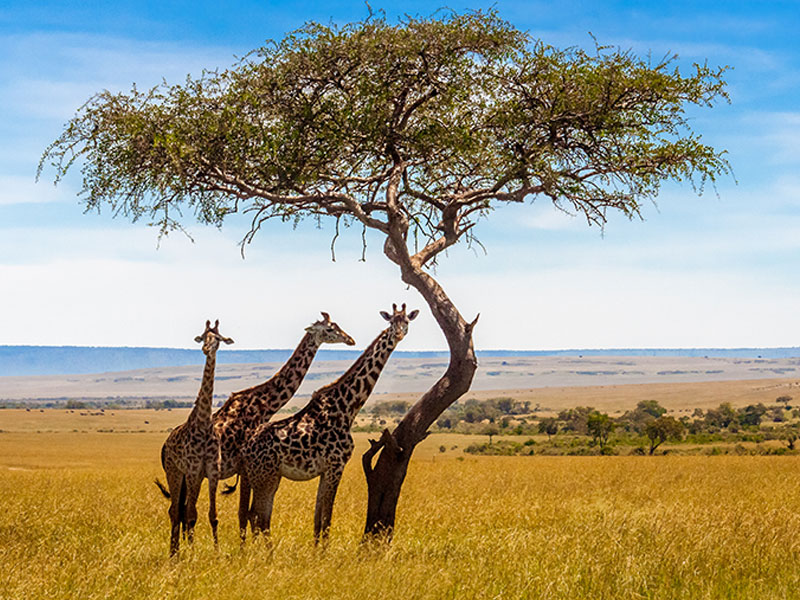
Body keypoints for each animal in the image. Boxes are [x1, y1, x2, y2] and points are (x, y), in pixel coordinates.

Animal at [157, 319, 233, 556]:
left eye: (217, 338)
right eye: (202, 337)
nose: (206, 349)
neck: (203, 424)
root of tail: (165, 445)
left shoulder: (211, 471)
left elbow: (212, 515)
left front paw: (217, 553)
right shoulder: (191, 470)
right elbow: (191, 515)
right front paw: (191, 554)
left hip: (192, 477)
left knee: (182, 509)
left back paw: (177, 550)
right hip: (174, 472)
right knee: (175, 510)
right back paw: (174, 553)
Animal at [211, 313, 355, 537]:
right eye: (330, 329)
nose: (350, 340)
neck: (264, 404)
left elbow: (249, 513)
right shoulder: (245, 467)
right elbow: (245, 513)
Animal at [241, 303, 418, 545]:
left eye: (406, 321)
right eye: (392, 322)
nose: (398, 334)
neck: (347, 407)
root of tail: (245, 449)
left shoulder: (325, 470)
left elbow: (318, 520)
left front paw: (316, 550)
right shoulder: (336, 465)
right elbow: (327, 519)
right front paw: (325, 552)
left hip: (268, 476)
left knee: (257, 516)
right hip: (264, 475)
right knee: (258, 517)